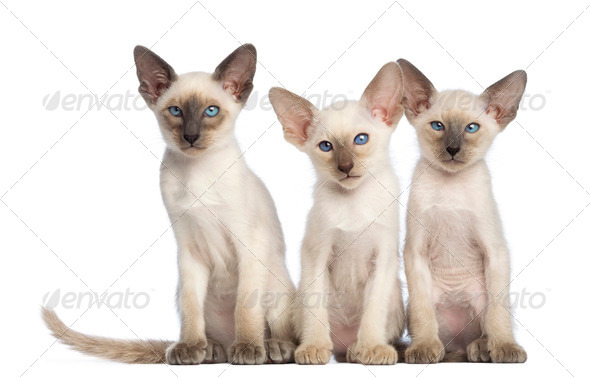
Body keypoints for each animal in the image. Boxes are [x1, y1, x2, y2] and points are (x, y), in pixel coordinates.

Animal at [42, 43, 296, 366]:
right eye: (176, 111)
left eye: (211, 111)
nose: (190, 136)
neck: (197, 174)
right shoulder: (187, 248)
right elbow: (190, 308)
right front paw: (189, 346)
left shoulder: (248, 244)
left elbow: (245, 308)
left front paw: (249, 348)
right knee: (212, 332)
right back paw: (211, 349)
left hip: (276, 282)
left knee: (275, 327)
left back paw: (271, 347)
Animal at [270, 61, 404, 366]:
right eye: (326, 146)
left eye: (361, 139)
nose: (345, 167)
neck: (353, 202)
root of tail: (341, 346)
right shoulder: (316, 255)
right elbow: (316, 310)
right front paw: (314, 347)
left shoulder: (384, 257)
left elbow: (373, 310)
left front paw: (372, 348)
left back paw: (359, 349)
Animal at [400, 58, 528, 364]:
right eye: (438, 126)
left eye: (471, 128)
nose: (452, 148)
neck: (451, 185)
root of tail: (458, 344)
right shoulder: (415, 250)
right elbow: (422, 313)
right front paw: (423, 348)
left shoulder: (495, 250)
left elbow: (498, 315)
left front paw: (505, 347)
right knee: (442, 338)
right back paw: (439, 348)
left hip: (481, 297)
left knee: (486, 324)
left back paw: (483, 349)